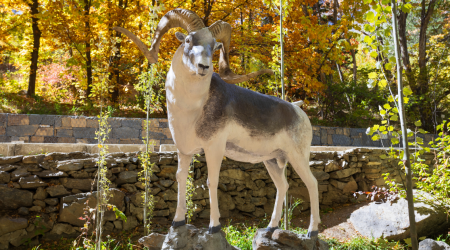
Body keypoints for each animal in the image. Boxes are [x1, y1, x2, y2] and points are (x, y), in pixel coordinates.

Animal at [114, 8, 322, 238]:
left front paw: (214, 227)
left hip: (297, 157)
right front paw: (177, 222)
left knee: (312, 184)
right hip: (272, 161)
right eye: (188, 40)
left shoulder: (213, 149)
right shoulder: (184, 151)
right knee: (283, 186)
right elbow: (181, 179)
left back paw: (312, 232)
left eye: (214, 47)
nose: (204, 67)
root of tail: (298, 110)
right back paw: (271, 227)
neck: (192, 109)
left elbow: (211, 182)